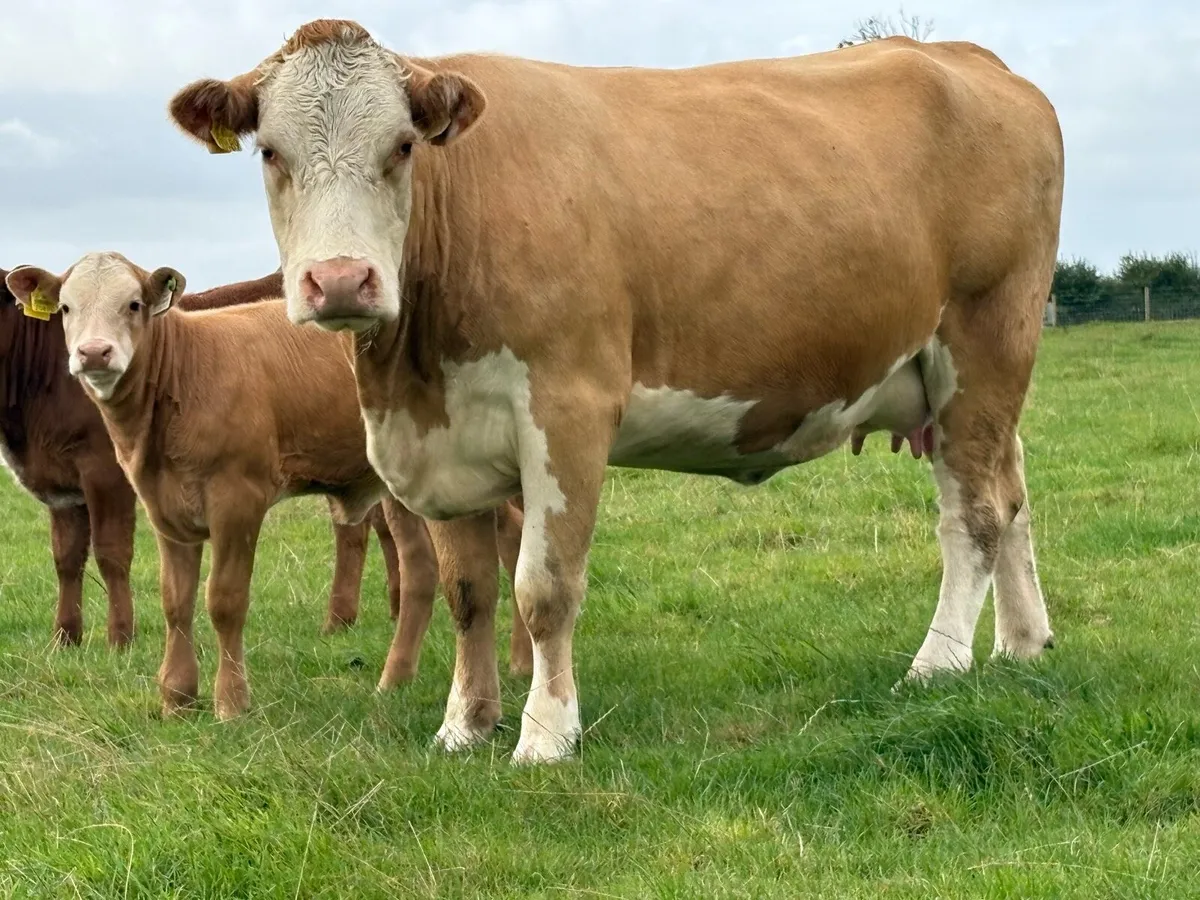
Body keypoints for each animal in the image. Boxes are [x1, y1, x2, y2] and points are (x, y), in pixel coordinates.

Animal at [5, 254, 530, 722]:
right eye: (66, 308)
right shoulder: (163, 505)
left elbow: (224, 600)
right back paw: (398, 677)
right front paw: (177, 697)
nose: (94, 353)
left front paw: (231, 703)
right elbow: (176, 601)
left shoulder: (238, 499)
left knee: (510, 539)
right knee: (425, 565)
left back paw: (518, 663)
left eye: (133, 304)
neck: (185, 373)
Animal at [167, 21, 1064, 762]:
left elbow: (543, 588)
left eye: (402, 147)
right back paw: (1021, 644)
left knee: (975, 516)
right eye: (271, 153)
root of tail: (970, 58)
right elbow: (468, 592)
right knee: (1011, 494)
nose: (342, 280)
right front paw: (465, 725)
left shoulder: (568, 409)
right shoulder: (439, 436)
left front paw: (544, 735)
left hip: (986, 339)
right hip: (968, 382)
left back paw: (938, 663)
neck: (413, 363)